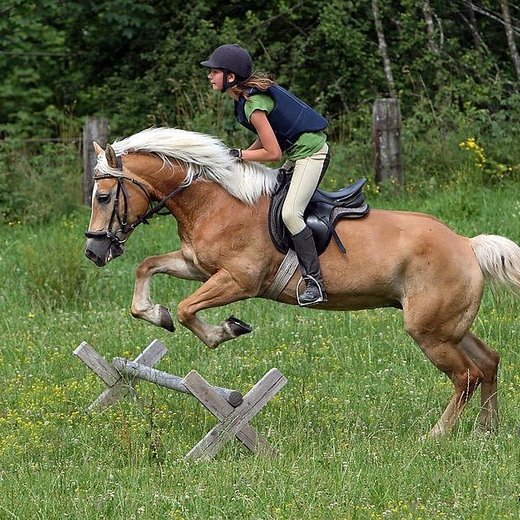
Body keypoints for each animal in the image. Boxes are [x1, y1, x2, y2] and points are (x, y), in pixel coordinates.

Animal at [85, 127, 520, 438]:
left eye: (103, 197)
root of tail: (466, 244)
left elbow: (187, 308)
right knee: (488, 362)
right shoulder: (197, 266)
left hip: (429, 330)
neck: (216, 202)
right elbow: (147, 269)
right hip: (447, 326)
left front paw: (226, 329)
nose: (93, 252)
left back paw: (436, 435)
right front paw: (154, 313)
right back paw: (487, 431)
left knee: (466, 376)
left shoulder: (238, 280)